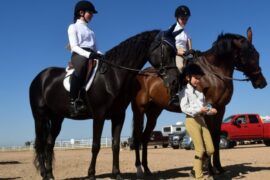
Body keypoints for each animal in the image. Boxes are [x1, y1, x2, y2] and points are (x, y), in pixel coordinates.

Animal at [29, 28, 179, 179]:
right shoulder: (98, 115)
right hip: (39, 117)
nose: (174, 80)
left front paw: (116, 173)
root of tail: (40, 77)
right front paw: (91, 174)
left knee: (49, 143)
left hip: (57, 118)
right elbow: (96, 145)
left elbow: (115, 145)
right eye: (167, 50)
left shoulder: (118, 116)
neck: (112, 76)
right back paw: (44, 174)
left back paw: (50, 174)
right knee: (40, 144)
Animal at [131, 27, 268, 177]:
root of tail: (140, 74)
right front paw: (210, 170)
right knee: (138, 137)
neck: (213, 71)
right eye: (249, 55)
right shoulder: (208, 109)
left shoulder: (220, 108)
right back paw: (139, 169)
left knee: (145, 137)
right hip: (139, 110)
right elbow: (209, 137)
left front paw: (219, 168)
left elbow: (215, 137)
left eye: (257, 55)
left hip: (153, 113)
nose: (262, 83)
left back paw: (147, 169)